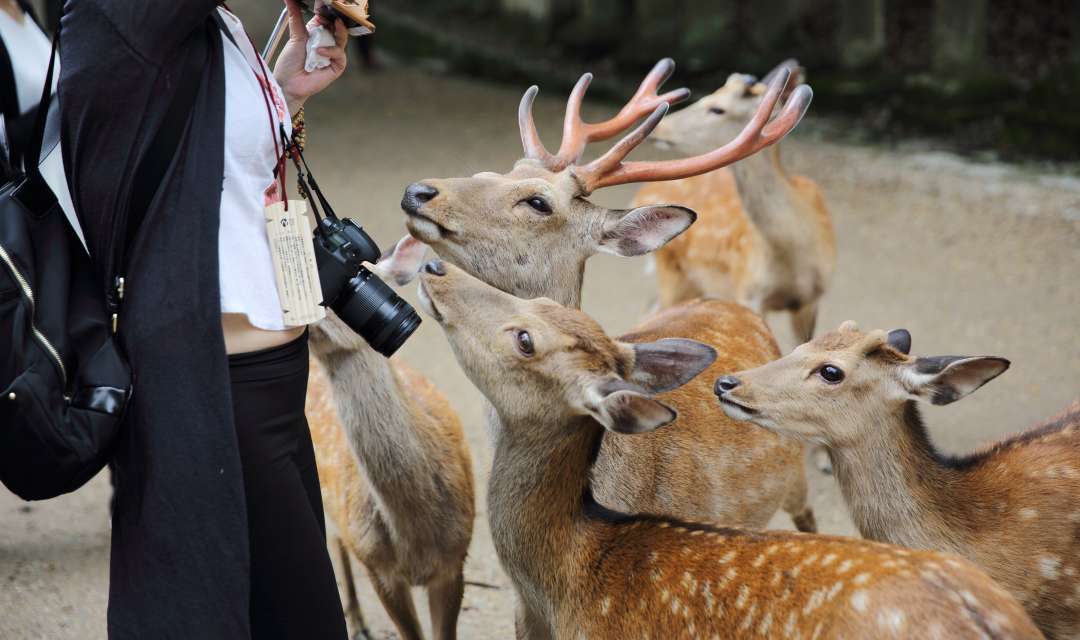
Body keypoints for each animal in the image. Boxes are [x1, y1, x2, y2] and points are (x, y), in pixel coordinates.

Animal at [630, 58, 833, 345]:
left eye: (717, 108)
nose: (660, 126)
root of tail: (642, 192)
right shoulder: (749, 290)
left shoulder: (812, 298)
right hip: (671, 270)